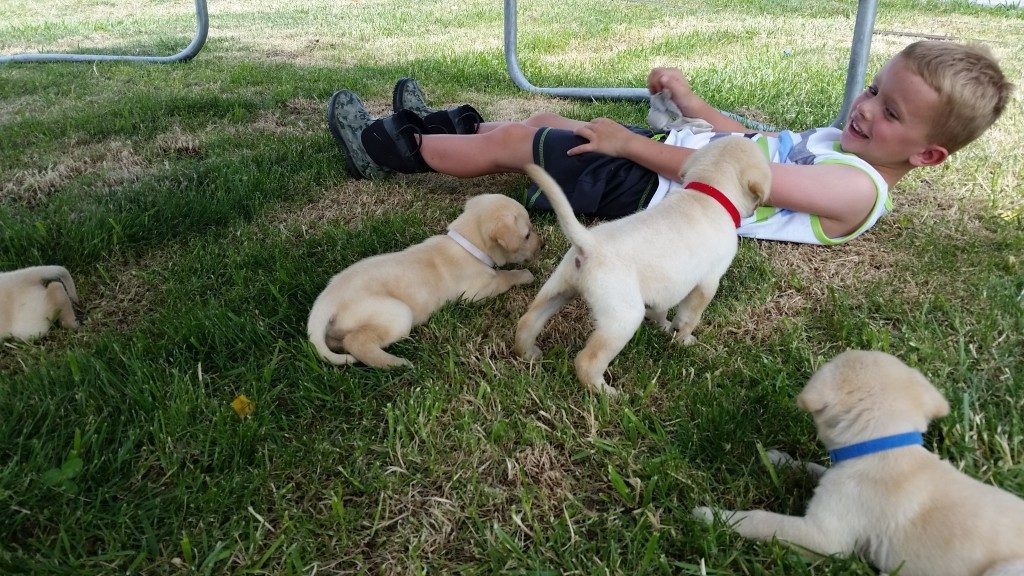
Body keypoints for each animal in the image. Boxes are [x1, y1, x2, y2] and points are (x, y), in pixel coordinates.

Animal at [305, 190, 540, 364]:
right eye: (527, 235)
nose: (543, 245)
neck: (468, 246)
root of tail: (325, 302)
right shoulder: (477, 292)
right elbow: (503, 277)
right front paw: (523, 275)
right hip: (396, 313)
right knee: (356, 342)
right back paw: (394, 363)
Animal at [516, 135, 770, 393]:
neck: (708, 191)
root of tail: (589, 243)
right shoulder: (708, 282)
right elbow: (689, 316)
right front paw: (683, 339)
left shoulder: (664, 288)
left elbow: (661, 310)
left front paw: (664, 326)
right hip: (623, 316)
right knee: (587, 361)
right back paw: (606, 392)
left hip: (558, 288)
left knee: (527, 321)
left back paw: (528, 354)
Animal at [696, 344, 1024, 573]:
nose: (708, 516)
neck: (885, 446)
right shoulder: (837, 477)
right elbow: (813, 468)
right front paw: (779, 460)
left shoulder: (823, 537)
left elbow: (763, 521)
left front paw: (714, 517)